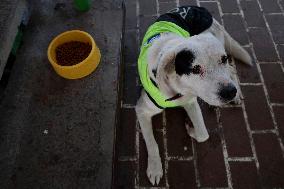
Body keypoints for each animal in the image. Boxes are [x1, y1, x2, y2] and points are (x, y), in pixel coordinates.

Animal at [136, 5, 253, 186]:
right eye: (196, 69)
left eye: (223, 59)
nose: (229, 92)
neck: (178, 91)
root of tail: (200, 8)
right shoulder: (142, 110)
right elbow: (151, 142)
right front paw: (155, 168)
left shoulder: (191, 102)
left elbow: (203, 134)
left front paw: (191, 130)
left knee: (232, 70)